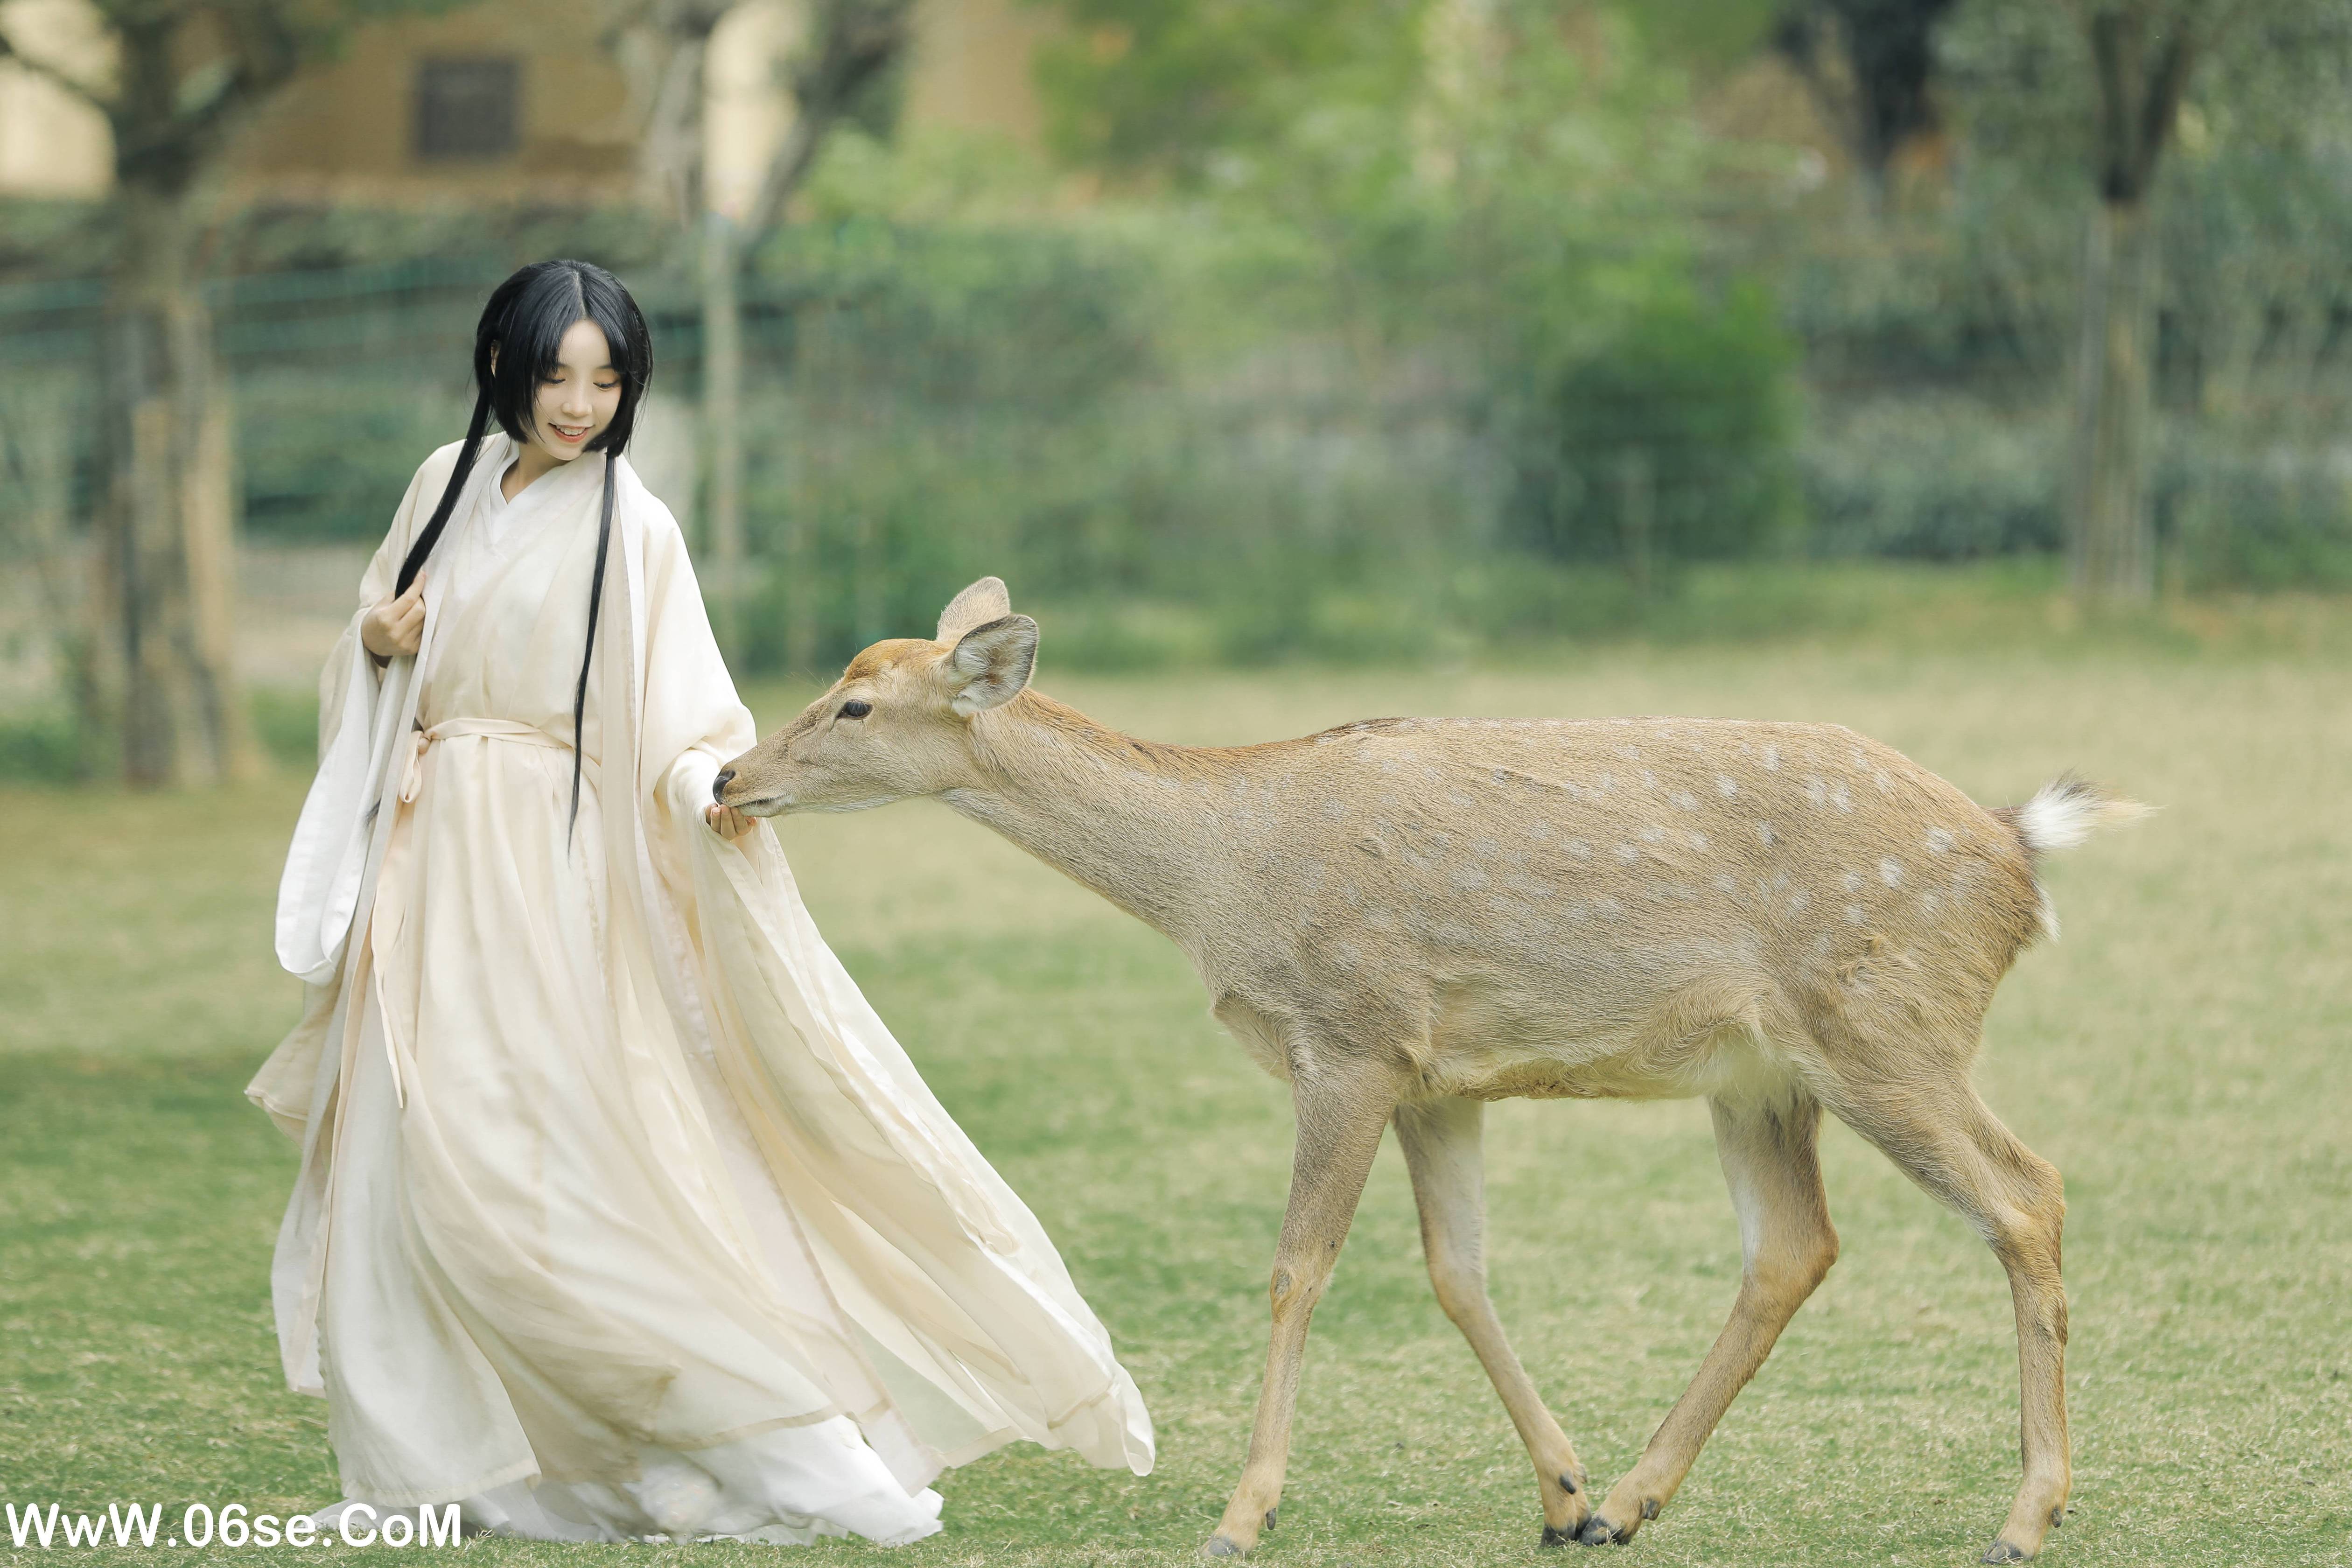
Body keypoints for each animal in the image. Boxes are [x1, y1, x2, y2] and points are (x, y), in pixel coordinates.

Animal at [712, 578, 2149, 1565]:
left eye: (854, 703)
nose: (729, 774)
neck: (1220, 879)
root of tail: (2019, 851)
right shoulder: (1436, 1076)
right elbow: (1458, 1274)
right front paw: (1559, 1496)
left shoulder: (1348, 1035)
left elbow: (1298, 1268)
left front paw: (1241, 1513)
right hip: (1761, 1077)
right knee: (1795, 1247)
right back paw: (1631, 1501)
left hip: (1890, 1027)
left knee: (2027, 1193)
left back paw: (2026, 1515)